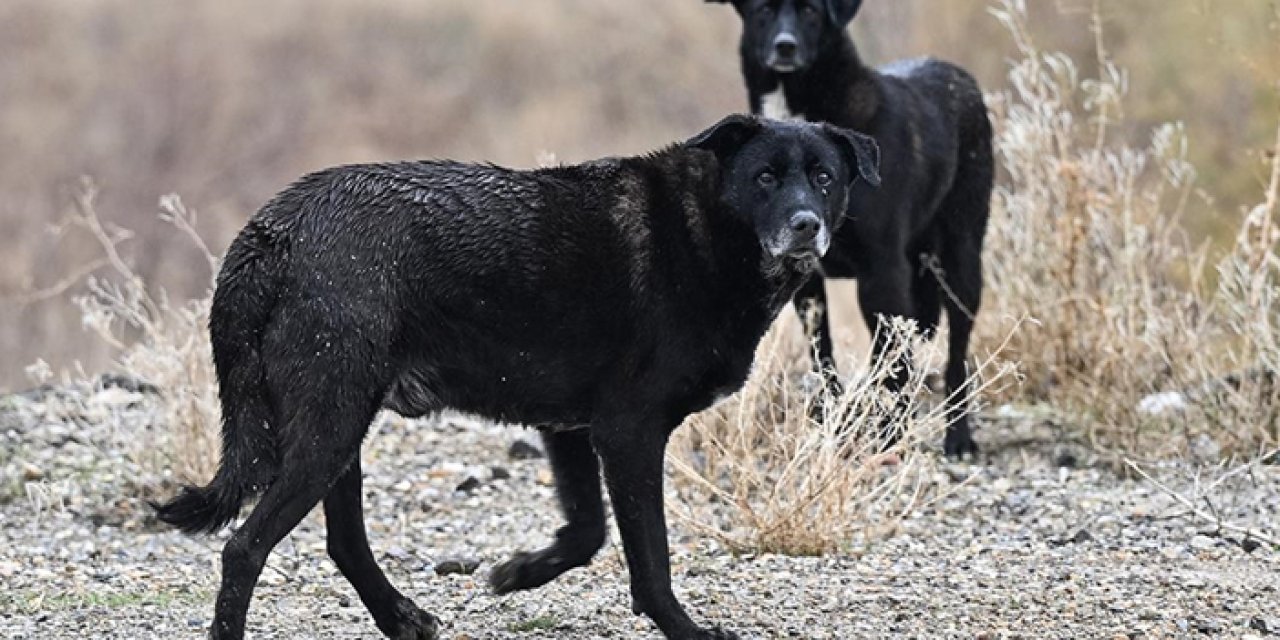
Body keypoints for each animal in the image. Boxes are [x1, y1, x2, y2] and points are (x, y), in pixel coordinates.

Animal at [149, 116, 880, 640]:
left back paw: (403, 618)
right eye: (765, 178)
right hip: (328, 426)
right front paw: (685, 630)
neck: (704, 232)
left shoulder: (572, 428)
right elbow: (651, 556)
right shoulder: (629, 431)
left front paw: (520, 574)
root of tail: (272, 230)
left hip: (337, 429)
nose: (805, 226)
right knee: (244, 548)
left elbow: (588, 533)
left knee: (342, 541)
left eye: (823, 177)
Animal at [706, 0, 993, 455]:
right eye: (762, 10)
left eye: (811, 12)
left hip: (961, 262)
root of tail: (959, 75)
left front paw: (891, 435)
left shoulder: (882, 274)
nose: (785, 46)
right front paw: (834, 424)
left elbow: (892, 364)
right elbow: (824, 357)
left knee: (956, 353)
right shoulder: (808, 285)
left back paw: (958, 436)